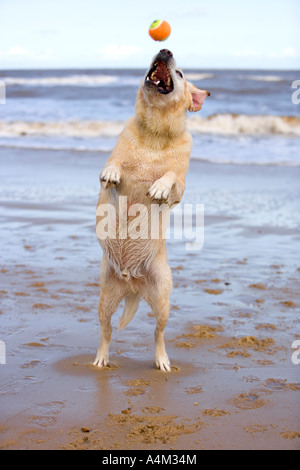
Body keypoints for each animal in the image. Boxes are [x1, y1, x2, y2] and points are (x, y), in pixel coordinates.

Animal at [93, 47, 209, 370]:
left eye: (180, 73)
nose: (165, 49)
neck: (155, 135)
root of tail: (132, 283)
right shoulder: (111, 176)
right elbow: (113, 164)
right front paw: (112, 172)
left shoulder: (180, 188)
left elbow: (169, 177)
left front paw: (158, 186)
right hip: (105, 300)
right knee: (106, 332)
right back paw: (101, 357)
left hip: (162, 301)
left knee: (159, 334)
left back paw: (162, 360)